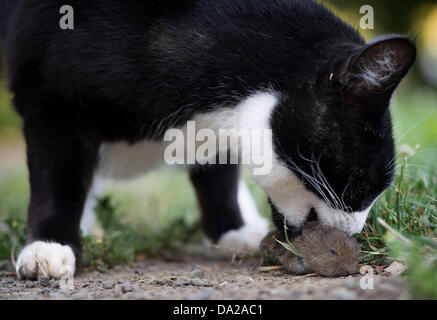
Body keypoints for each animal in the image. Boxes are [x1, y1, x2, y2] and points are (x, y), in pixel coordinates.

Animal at [0, 0, 416, 278]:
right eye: (359, 184)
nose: (354, 234)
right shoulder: (49, 97)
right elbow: (58, 176)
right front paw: (49, 243)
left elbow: (218, 167)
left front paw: (231, 228)